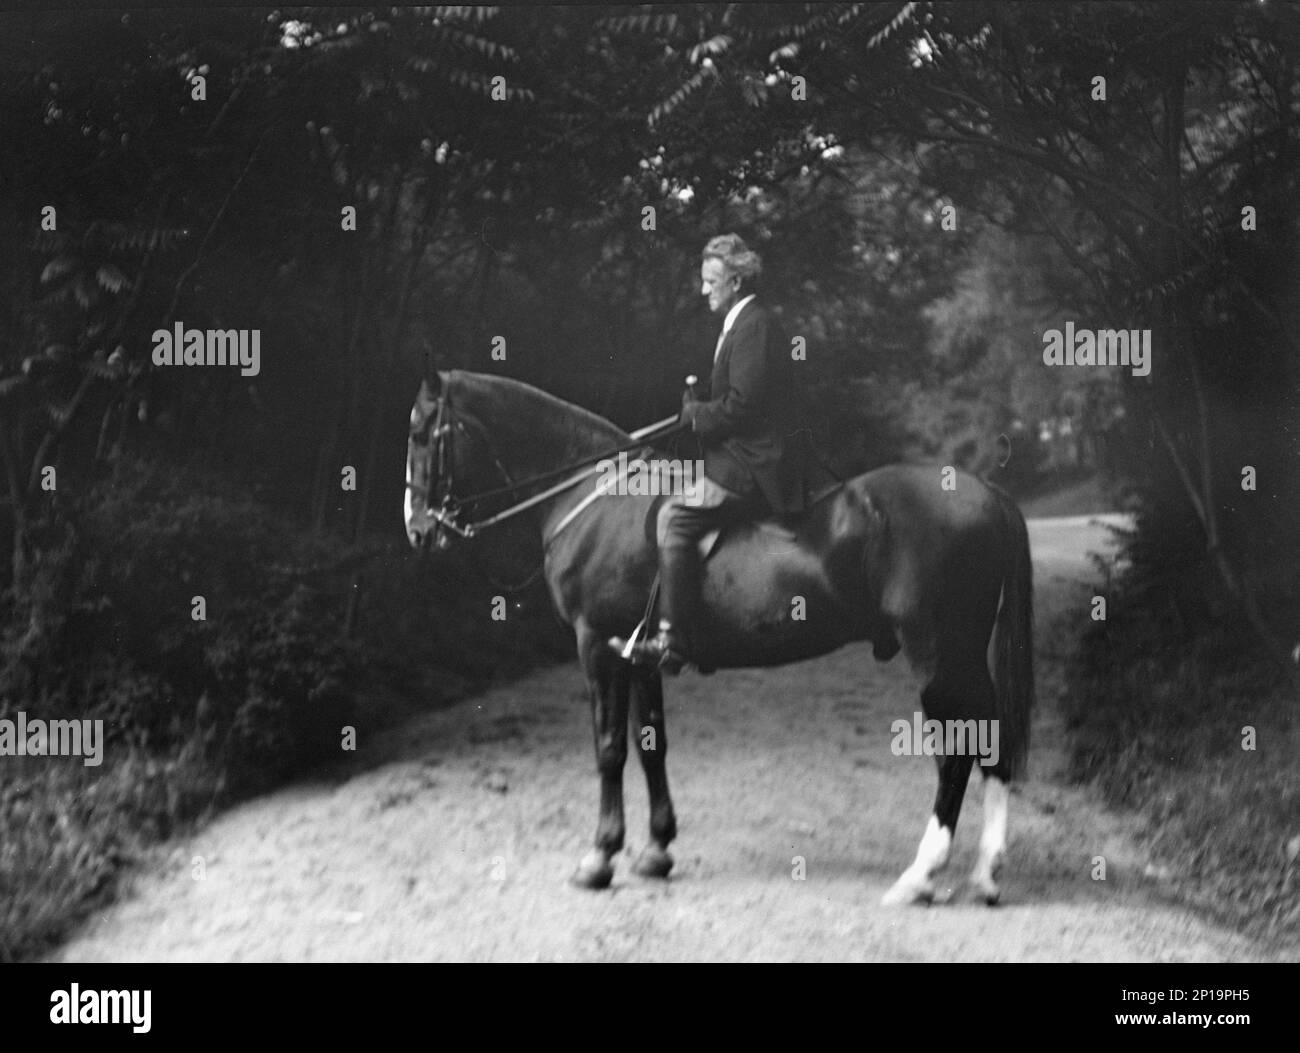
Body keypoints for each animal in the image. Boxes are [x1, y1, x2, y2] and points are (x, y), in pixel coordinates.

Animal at [405, 369, 1034, 904]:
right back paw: (985, 873)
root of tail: (985, 491)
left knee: (959, 748)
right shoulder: (638, 656)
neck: (595, 499)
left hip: (937, 652)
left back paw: (920, 875)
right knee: (990, 741)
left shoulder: (597, 646)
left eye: (418, 433)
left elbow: (609, 749)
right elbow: (650, 744)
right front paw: (656, 850)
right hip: (960, 656)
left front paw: (599, 858)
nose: (416, 528)